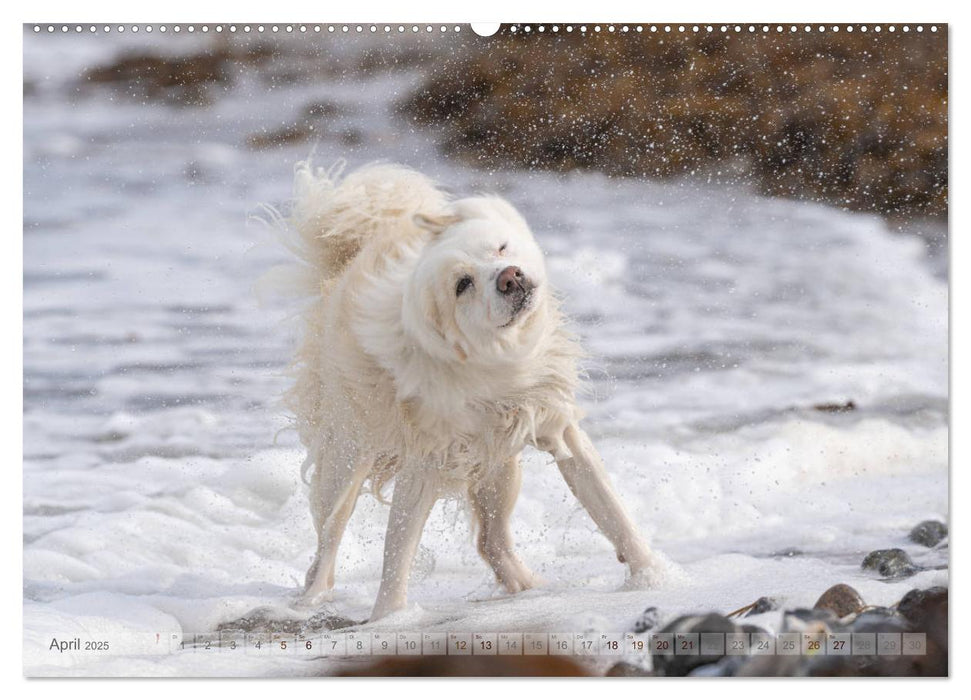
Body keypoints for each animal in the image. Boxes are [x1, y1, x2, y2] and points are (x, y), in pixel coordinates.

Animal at [278, 160, 664, 616]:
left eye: (501, 249)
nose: (510, 277)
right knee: (328, 536)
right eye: (463, 284)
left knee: (490, 540)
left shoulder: (557, 425)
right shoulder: (424, 463)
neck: (493, 362)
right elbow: (397, 551)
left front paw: (652, 575)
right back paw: (312, 598)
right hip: (346, 455)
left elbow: (610, 508)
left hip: (499, 467)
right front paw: (389, 617)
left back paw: (529, 587)